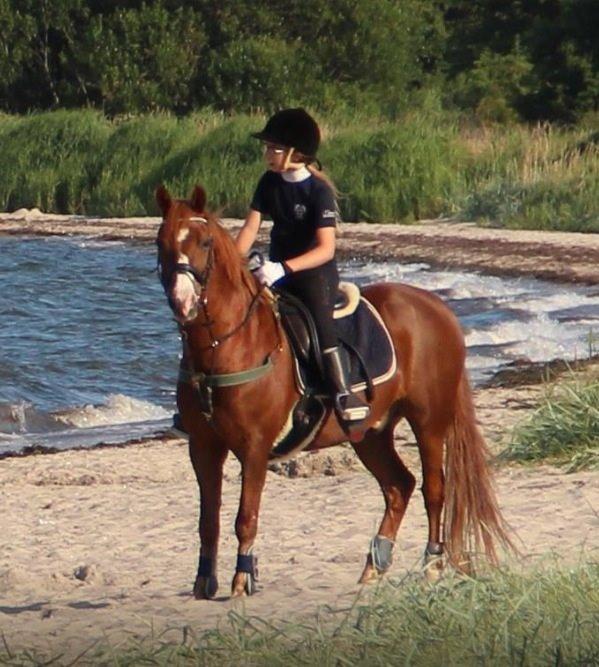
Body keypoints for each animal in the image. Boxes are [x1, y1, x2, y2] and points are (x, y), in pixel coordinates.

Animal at [155, 184, 514, 599]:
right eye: (162, 242)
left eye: (205, 241)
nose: (182, 302)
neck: (225, 347)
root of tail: (437, 307)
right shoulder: (203, 447)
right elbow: (207, 520)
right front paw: (204, 582)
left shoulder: (254, 447)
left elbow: (246, 517)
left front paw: (243, 578)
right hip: (370, 432)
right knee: (399, 485)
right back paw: (375, 564)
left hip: (429, 422)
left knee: (434, 490)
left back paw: (432, 564)